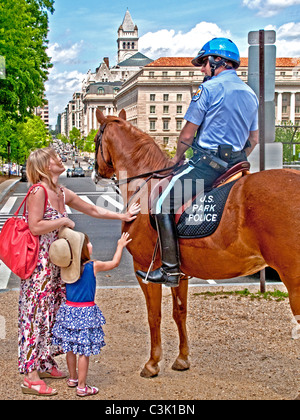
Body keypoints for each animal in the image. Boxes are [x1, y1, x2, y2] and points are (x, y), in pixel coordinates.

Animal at [94, 107, 300, 378]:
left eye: (95, 139)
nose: (96, 173)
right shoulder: (178, 272)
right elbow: (179, 312)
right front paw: (182, 358)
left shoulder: (145, 268)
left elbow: (154, 316)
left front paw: (152, 362)